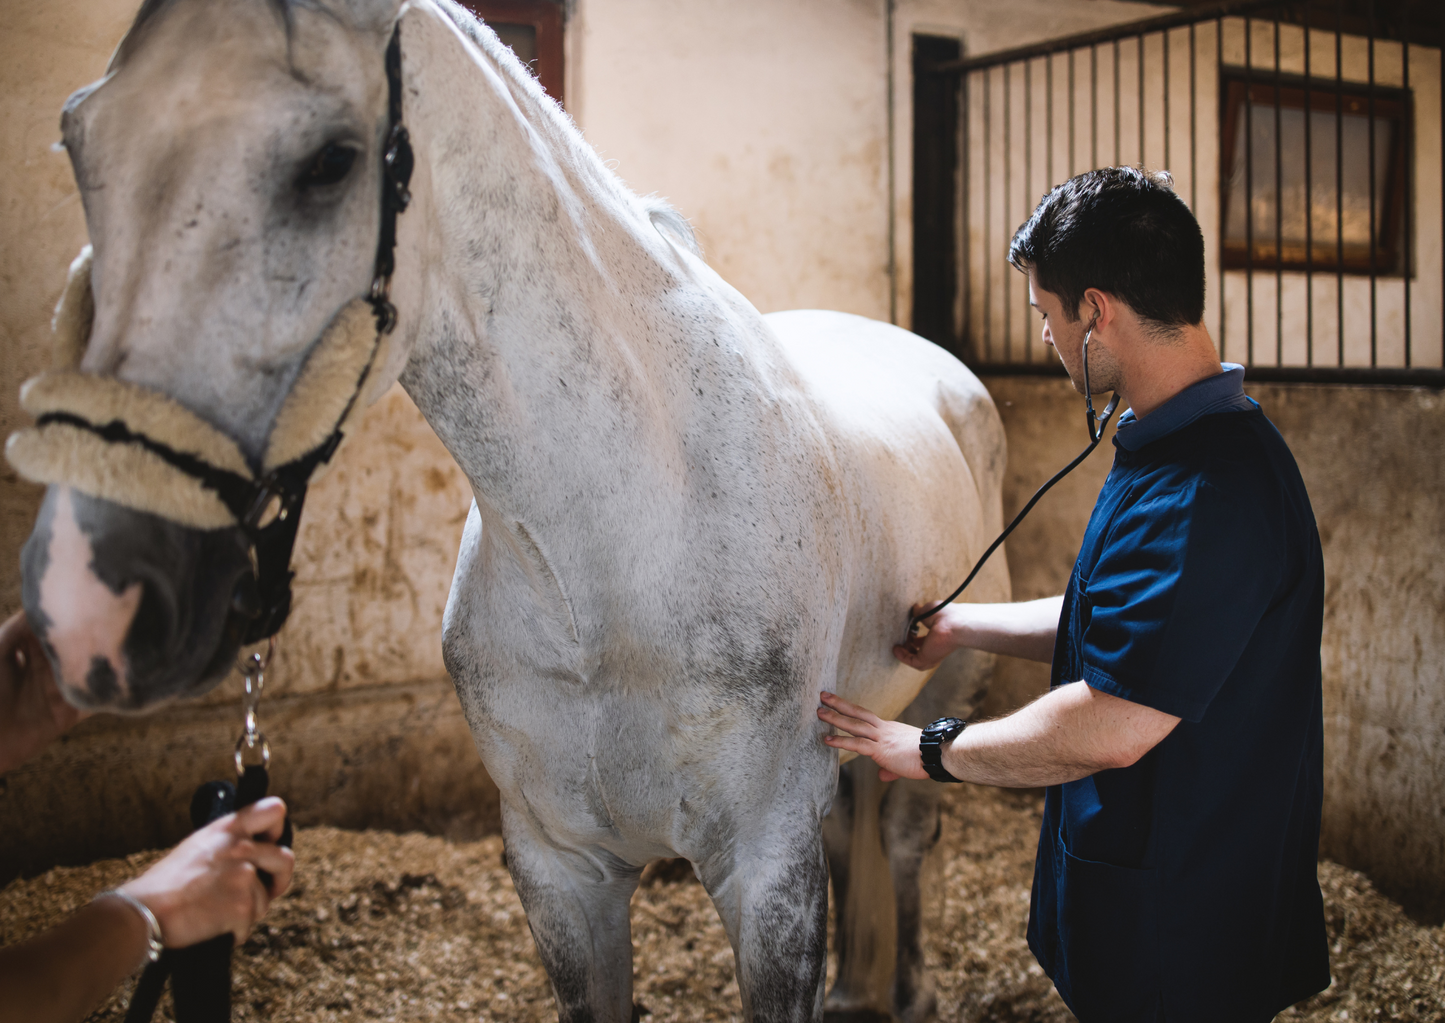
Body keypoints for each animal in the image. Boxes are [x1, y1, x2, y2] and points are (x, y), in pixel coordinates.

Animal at [12, 1, 1010, 1019]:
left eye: (330, 160)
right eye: (78, 137)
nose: (88, 602)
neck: (613, 553)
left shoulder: (767, 869)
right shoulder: (559, 869)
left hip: (940, 693)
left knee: (899, 833)